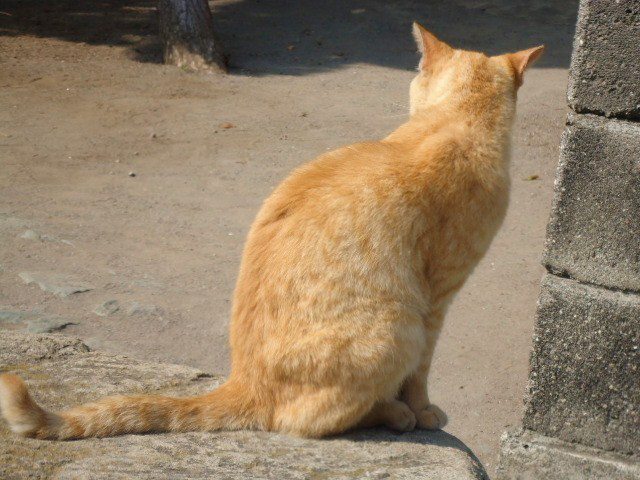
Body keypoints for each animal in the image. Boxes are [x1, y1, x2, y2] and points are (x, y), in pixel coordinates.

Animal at [0, 24, 544, 440]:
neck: (455, 120)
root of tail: (243, 380)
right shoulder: (436, 300)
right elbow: (422, 374)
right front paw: (423, 410)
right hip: (399, 326)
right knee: (306, 422)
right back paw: (395, 414)